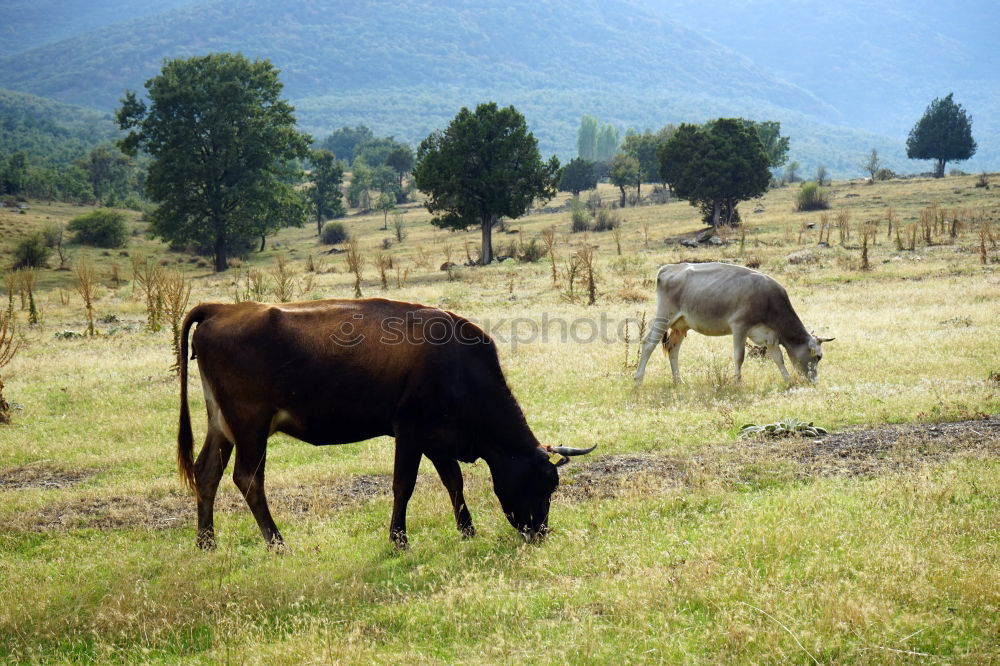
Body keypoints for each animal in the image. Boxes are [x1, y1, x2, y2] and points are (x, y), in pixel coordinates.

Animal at [178, 298, 592, 548]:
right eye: (543, 483)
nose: (539, 531)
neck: (457, 364)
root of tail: (221, 308)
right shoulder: (410, 431)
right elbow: (403, 485)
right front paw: (398, 539)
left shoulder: (438, 439)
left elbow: (453, 482)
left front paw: (467, 530)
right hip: (251, 426)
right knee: (248, 479)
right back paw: (277, 542)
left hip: (222, 425)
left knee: (207, 473)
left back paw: (206, 543)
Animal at [636, 260, 832, 384]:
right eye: (818, 356)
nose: (815, 381)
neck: (770, 300)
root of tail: (669, 268)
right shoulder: (740, 326)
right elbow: (739, 356)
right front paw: (737, 382)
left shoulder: (770, 335)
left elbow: (778, 358)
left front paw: (788, 380)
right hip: (664, 316)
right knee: (648, 343)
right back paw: (638, 380)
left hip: (681, 325)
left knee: (673, 349)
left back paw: (679, 381)